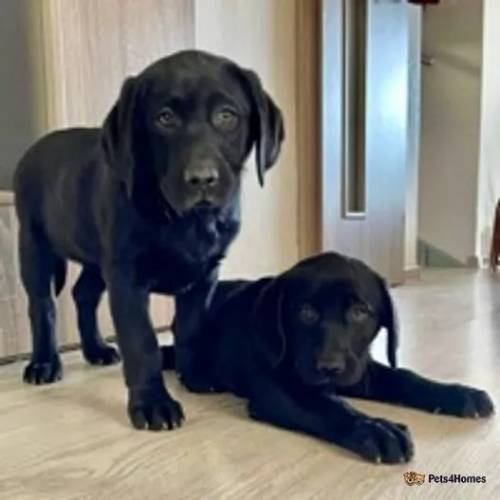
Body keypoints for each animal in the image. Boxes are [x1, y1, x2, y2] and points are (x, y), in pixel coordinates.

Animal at [13, 51, 284, 434]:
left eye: (226, 116)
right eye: (164, 118)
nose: (202, 179)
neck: (186, 221)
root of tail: (35, 147)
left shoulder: (205, 276)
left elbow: (191, 329)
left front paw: (195, 376)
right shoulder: (127, 278)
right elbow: (142, 343)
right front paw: (153, 404)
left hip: (98, 257)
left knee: (83, 294)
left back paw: (96, 349)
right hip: (34, 244)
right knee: (42, 305)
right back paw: (44, 363)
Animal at [163, 254, 492, 464]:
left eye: (360, 312)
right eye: (306, 313)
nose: (329, 367)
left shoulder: (360, 369)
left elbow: (405, 377)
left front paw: (460, 393)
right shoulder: (279, 390)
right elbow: (328, 405)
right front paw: (376, 428)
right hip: (192, 315)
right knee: (183, 355)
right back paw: (200, 379)